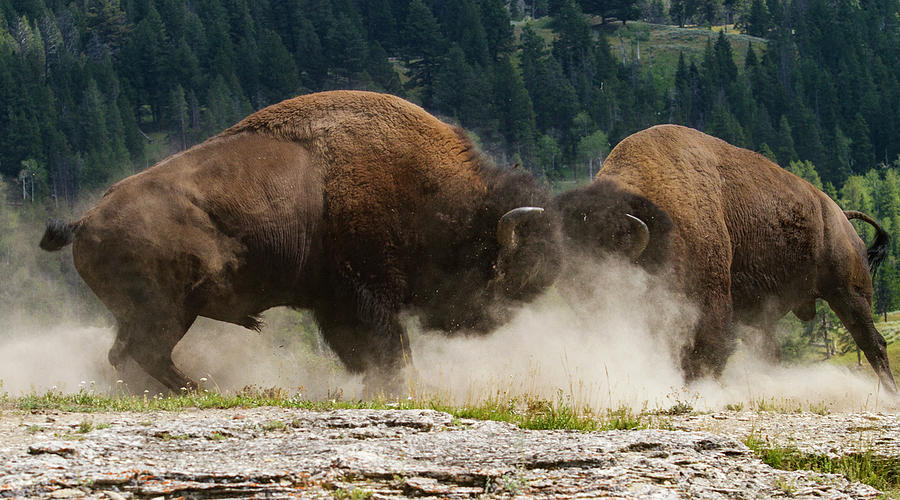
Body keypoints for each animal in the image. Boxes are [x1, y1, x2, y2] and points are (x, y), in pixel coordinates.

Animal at [44, 92, 564, 392]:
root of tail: (85, 220)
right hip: (169, 309)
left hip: (147, 312)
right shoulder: (362, 295)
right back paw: (203, 390)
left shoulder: (335, 302)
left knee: (124, 354)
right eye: (496, 272)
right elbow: (387, 348)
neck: (430, 189)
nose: (486, 325)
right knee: (145, 351)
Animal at [552, 124, 896, 390]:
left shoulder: (710, 304)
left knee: (872, 342)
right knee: (772, 352)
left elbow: (706, 350)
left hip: (848, 293)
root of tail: (840, 214)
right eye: (568, 280)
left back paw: (889, 394)